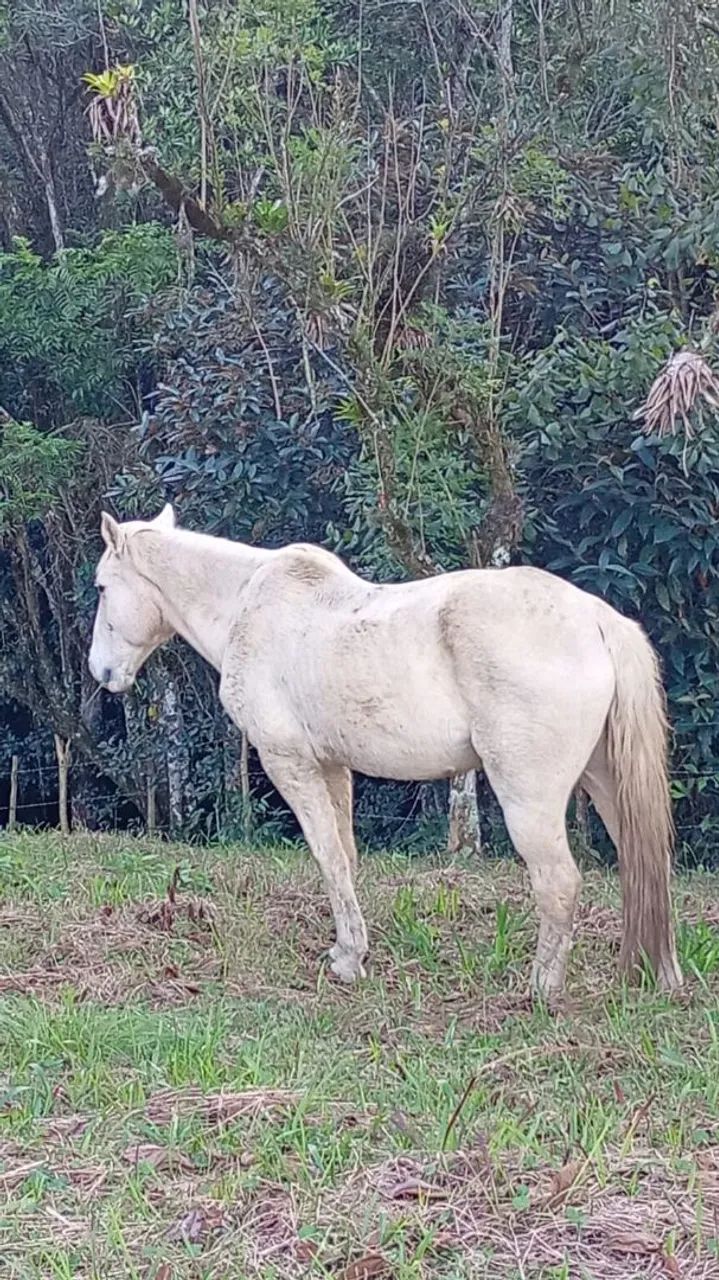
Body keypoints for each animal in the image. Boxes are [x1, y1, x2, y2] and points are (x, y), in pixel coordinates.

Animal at [88, 504, 682, 1001]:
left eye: (100, 587)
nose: (102, 671)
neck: (247, 606)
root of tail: (597, 620)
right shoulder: (332, 768)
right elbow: (345, 858)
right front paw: (349, 947)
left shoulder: (291, 764)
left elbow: (327, 856)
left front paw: (349, 960)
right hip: (606, 783)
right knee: (646, 868)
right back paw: (661, 977)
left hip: (530, 800)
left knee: (559, 882)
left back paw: (540, 990)